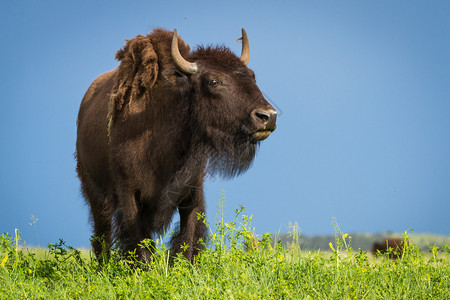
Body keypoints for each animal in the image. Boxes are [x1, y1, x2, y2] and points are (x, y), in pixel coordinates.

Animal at [75, 28, 276, 262]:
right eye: (213, 81)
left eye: (252, 76)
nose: (268, 116)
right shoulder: (128, 193)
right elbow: (139, 243)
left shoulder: (191, 191)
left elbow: (187, 238)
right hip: (96, 192)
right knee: (103, 234)